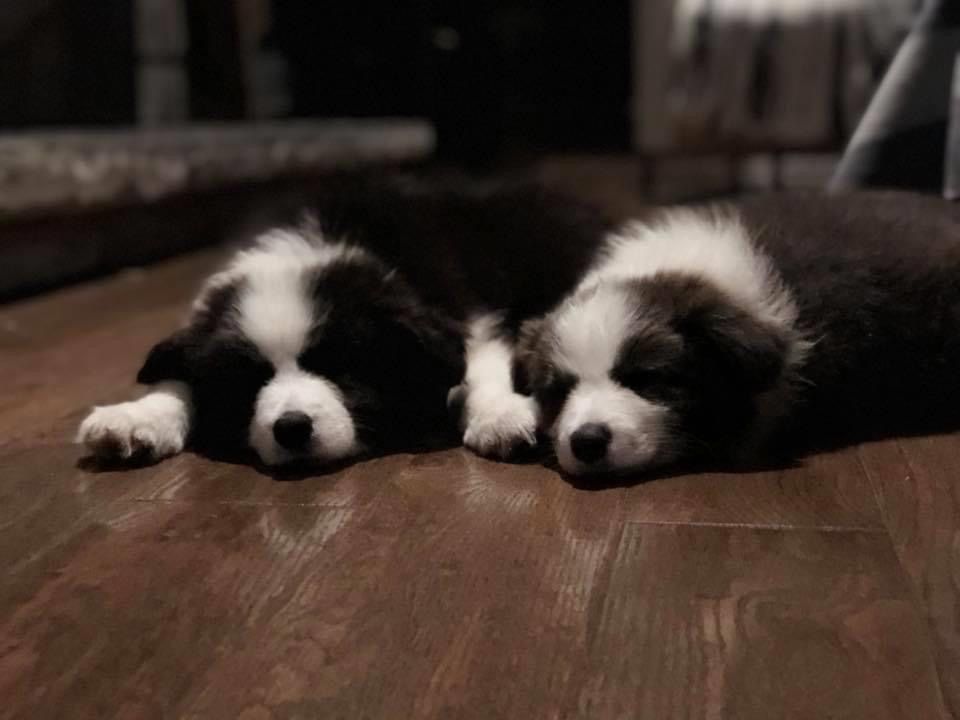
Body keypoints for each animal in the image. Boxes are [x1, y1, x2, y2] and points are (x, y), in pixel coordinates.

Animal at [77, 176, 612, 468]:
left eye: (342, 367)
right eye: (249, 380)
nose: (292, 429)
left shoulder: (465, 314)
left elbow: (478, 365)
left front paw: (500, 415)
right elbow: (180, 378)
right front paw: (136, 417)